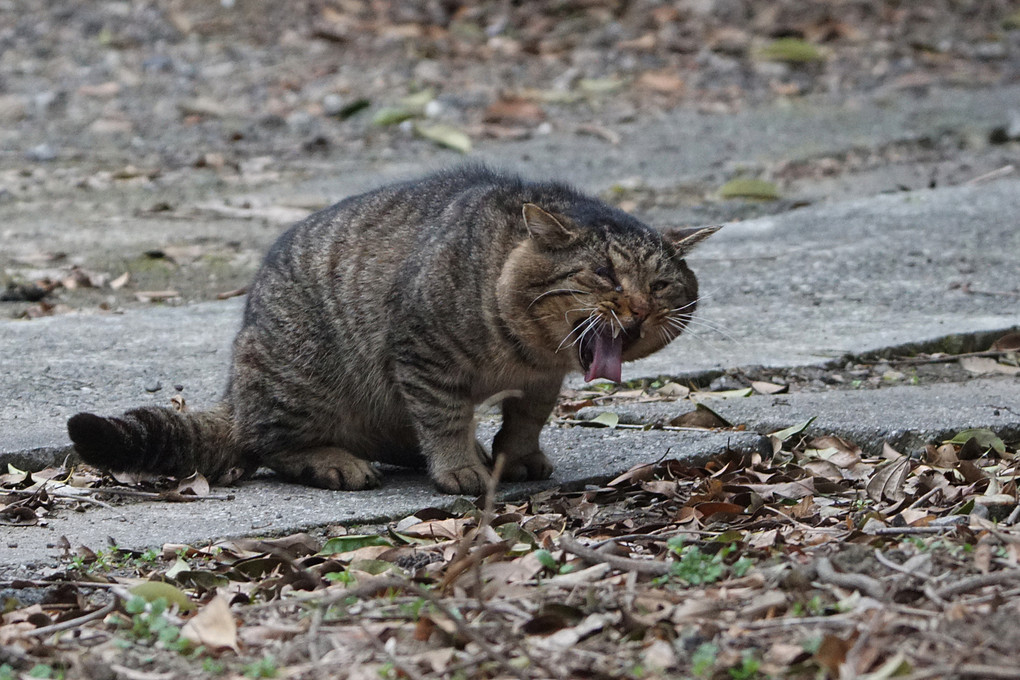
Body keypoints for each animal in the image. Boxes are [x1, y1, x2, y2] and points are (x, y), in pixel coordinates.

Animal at [67, 165, 718, 495]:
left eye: (661, 284)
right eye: (604, 274)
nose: (638, 308)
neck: (527, 354)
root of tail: (235, 390)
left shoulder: (541, 381)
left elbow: (526, 421)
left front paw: (516, 456)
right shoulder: (424, 355)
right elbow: (446, 419)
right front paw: (460, 468)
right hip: (301, 376)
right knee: (266, 443)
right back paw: (336, 462)